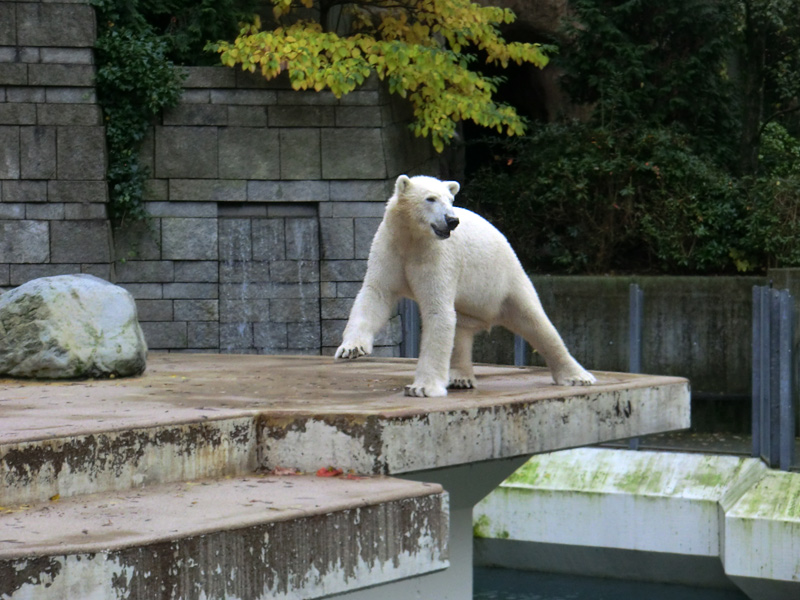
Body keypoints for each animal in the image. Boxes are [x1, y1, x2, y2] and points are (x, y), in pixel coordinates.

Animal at [332, 175, 592, 398]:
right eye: (430, 198)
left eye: (450, 200)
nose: (452, 220)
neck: (412, 239)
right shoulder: (389, 249)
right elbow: (375, 295)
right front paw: (351, 349)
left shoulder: (437, 256)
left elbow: (438, 312)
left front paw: (422, 388)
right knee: (461, 330)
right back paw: (460, 378)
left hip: (506, 281)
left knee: (536, 322)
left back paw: (578, 376)